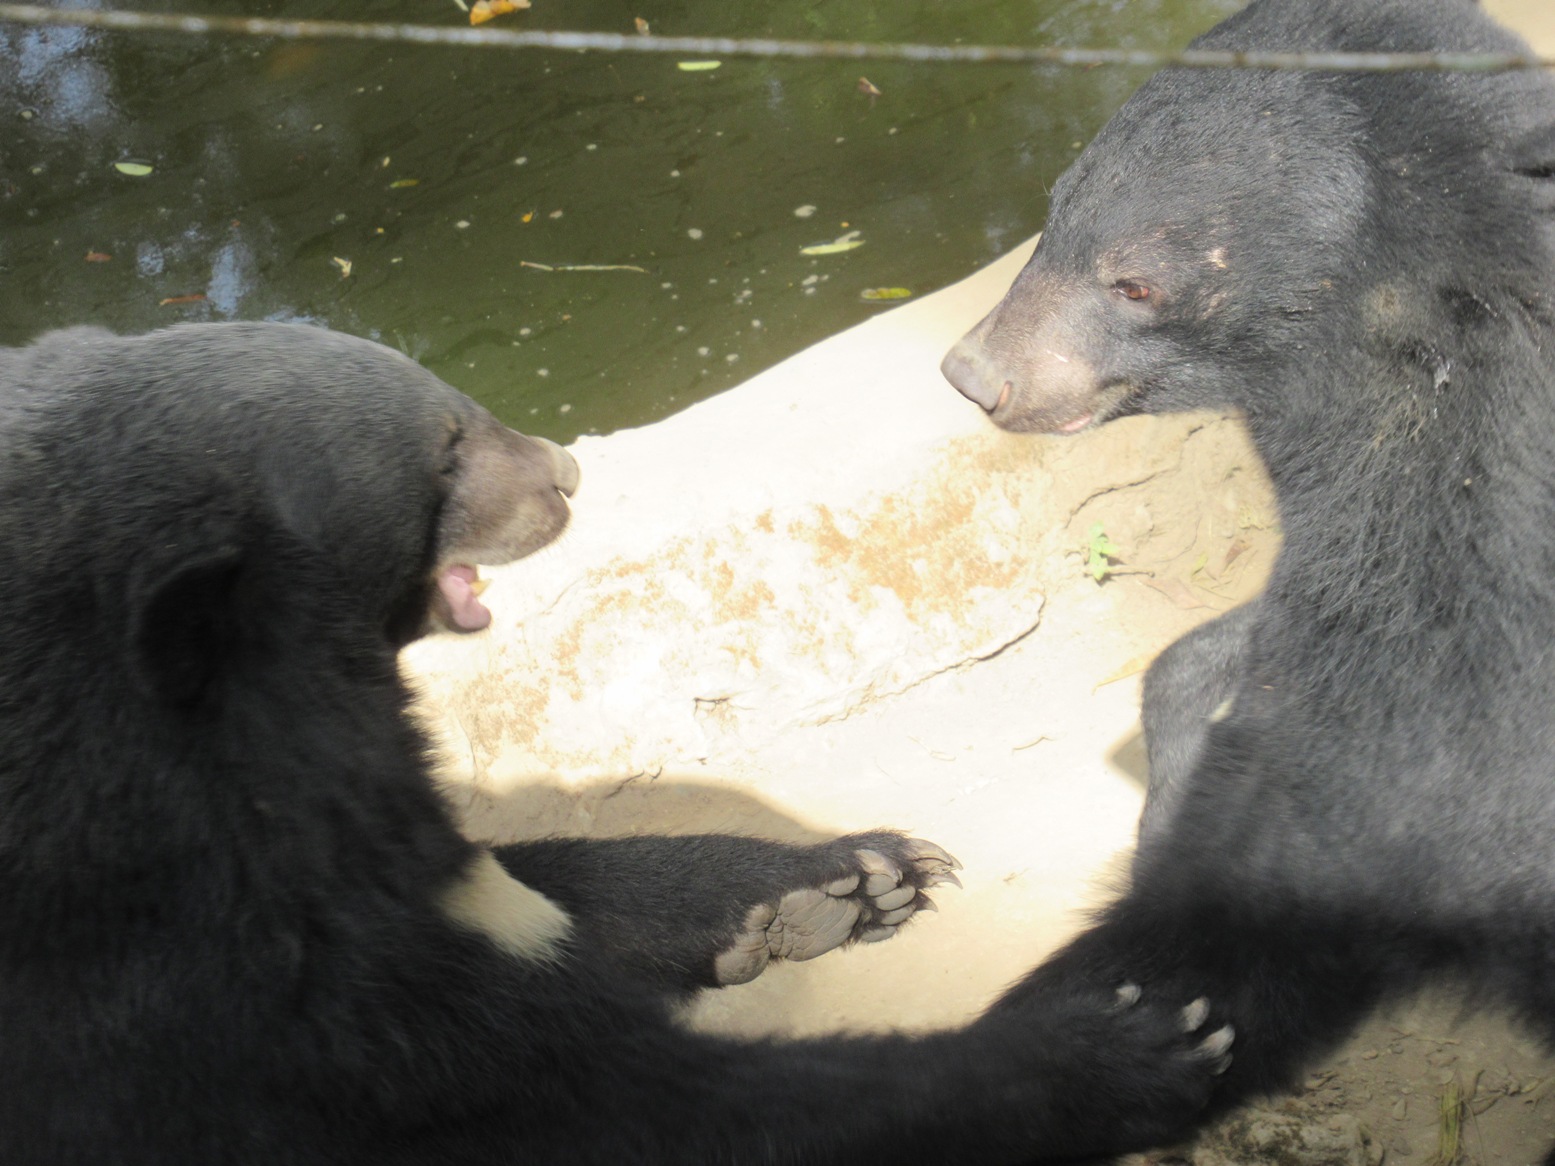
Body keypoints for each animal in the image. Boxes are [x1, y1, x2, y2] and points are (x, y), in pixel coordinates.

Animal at [0, 321, 1230, 1164]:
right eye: (445, 448)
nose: (563, 471)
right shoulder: (214, 994)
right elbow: (602, 1107)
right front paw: (1132, 1045)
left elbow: (544, 897)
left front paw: (849, 876)